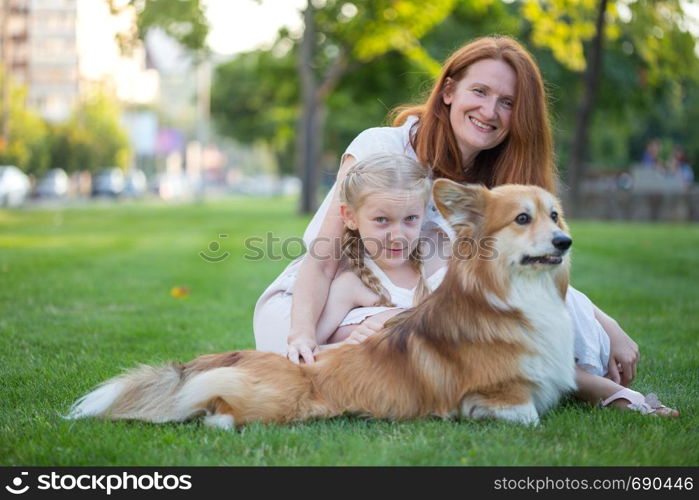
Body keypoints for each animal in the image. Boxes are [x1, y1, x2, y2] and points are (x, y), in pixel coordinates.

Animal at [68, 182, 576, 428]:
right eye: (522, 218)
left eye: (555, 215)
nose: (565, 241)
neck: (513, 298)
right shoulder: (497, 394)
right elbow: (530, 417)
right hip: (280, 401)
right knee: (218, 406)